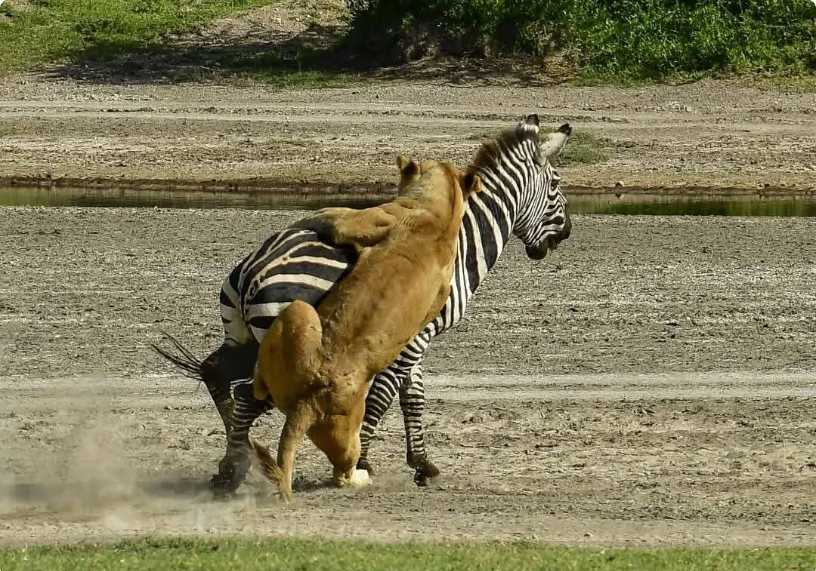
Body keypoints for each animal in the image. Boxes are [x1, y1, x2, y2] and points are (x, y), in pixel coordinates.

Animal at [250, 156, 482, 500]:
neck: (444, 216)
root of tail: (310, 399)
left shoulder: (368, 220)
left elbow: (327, 213)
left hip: (301, 312)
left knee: (341, 473)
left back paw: (361, 477)